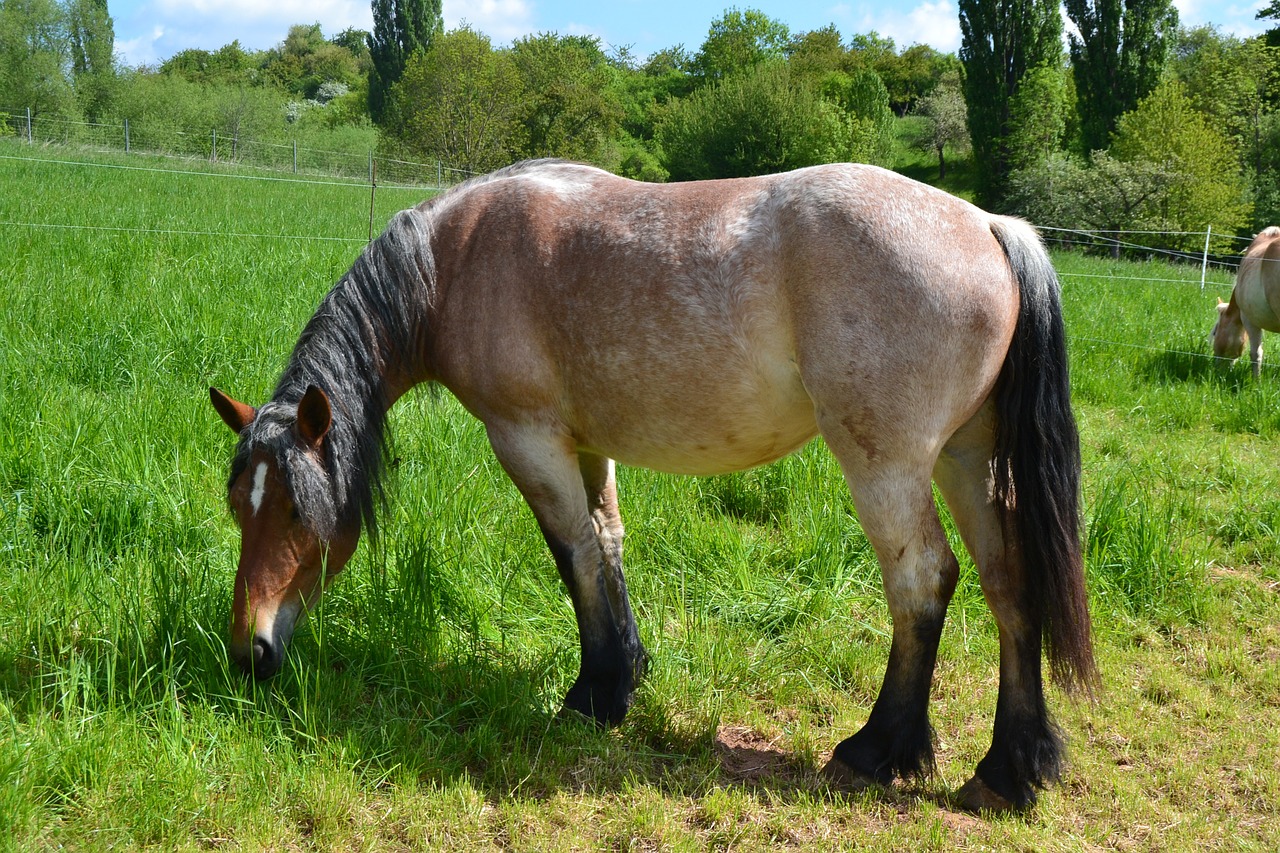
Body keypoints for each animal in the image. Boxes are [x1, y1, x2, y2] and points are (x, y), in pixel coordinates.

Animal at [207, 157, 1090, 809]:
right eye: (240, 508)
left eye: (298, 511)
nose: (250, 650)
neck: (456, 257)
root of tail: (988, 225)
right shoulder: (585, 446)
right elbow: (608, 544)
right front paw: (624, 673)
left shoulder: (527, 439)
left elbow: (572, 553)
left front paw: (592, 695)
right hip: (968, 459)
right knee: (1010, 583)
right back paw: (1010, 770)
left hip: (889, 465)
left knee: (922, 582)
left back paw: (878, 749)